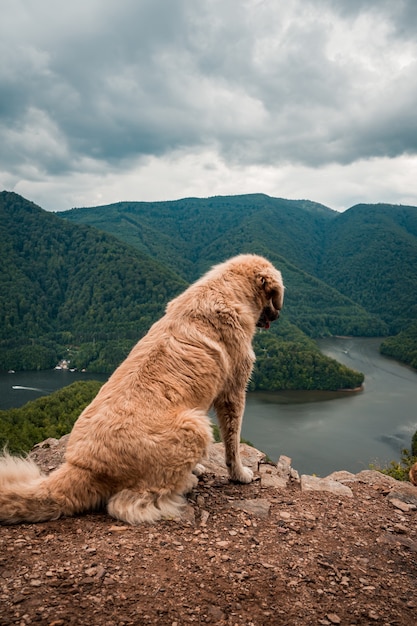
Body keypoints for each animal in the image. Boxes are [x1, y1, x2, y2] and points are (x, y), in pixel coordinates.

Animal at [0, 252, 282, 520]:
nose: (278, 314)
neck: (226, 289)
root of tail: (83, 466)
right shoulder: (233, 391)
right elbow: (232, 441)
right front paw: (239, 473)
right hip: (195, 424)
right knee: (130, 502)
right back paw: (187, 482)